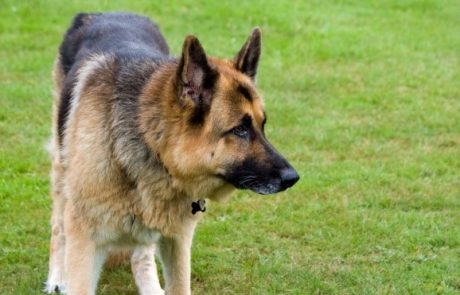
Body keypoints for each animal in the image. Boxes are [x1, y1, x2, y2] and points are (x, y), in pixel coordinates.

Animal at [45, 12, 298, 295]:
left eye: (262, 125)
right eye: (240, 129)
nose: (293, 178)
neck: (151, 150)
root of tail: (105, 13)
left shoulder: (177, 240)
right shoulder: (85, 241)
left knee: (142, 253)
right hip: (61, 176)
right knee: (58, 227)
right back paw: (58, 275)